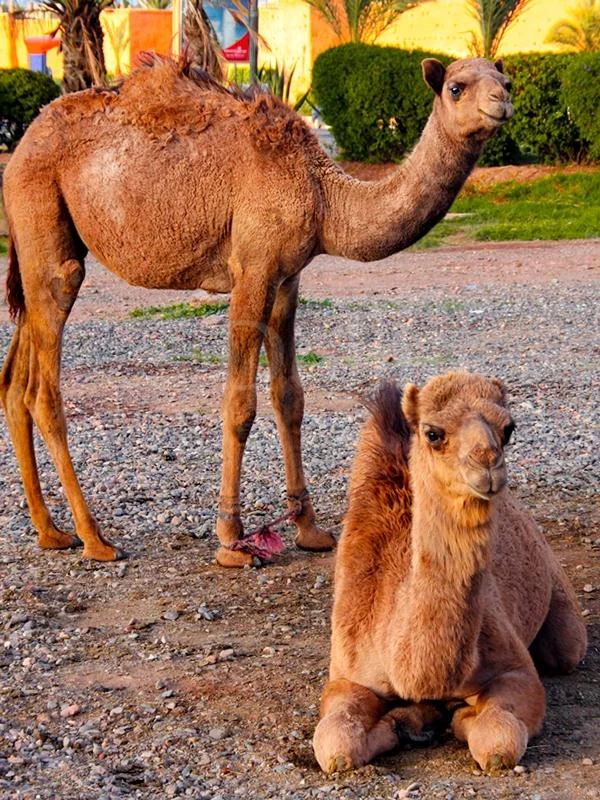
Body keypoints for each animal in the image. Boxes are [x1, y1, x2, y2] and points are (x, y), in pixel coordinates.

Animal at [1, 56, 513, 566]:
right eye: (456, 87)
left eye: (505, 80)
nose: (502, 102)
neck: (323, 195)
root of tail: (22, 146)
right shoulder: (253, 267)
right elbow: (239, 404)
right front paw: (231, 539)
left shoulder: (287, 278)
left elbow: (290, 397)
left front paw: (309, 528)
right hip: (43, 220)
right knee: (43, 389)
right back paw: (95, 538)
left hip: (38, 247)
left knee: (14, 383)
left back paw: (51, 531)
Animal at [313, 371, 587, 775]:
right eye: (433, 433)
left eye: (509, 428)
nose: (488, 464)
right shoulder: (348, 674)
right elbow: (336, 746)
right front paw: (409, 721)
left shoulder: (515, 669)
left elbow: (498, 740)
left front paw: (456, 717)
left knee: (565, 650)